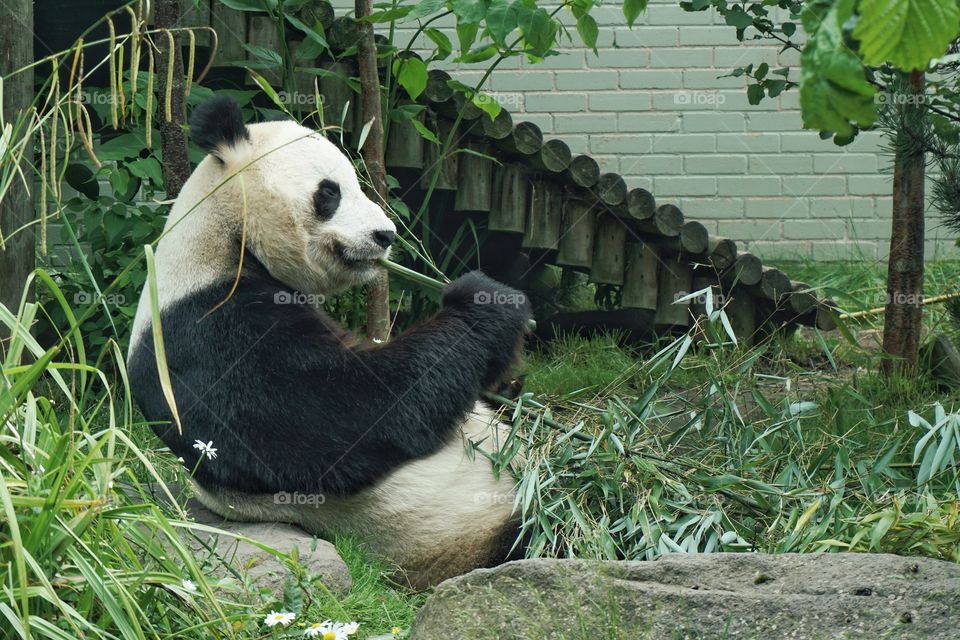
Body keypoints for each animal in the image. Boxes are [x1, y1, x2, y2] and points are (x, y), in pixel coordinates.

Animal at [127, 96, 532, 588]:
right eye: (330, 192)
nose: (386, 235)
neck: (224, 236)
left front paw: (511, 382)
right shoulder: (206, 331)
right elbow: (350, 412)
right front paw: (487, 301)